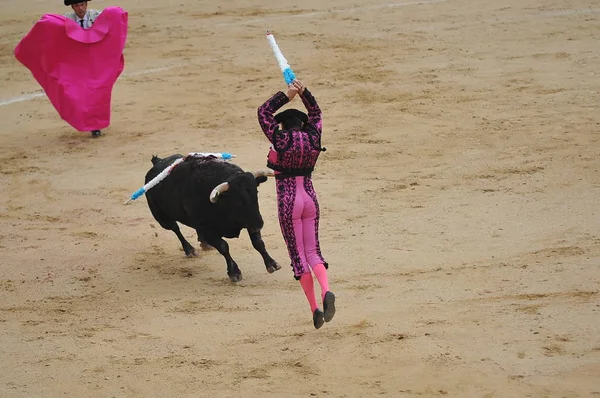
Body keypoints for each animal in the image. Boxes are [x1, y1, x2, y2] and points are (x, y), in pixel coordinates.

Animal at [144, 155, 282, 282]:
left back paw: (205, 244)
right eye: (238, 200)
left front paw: (272, 264)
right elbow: (224, 247)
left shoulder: (249, 221)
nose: (259, 224)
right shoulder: (209, 230)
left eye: (256, 193)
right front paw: (234, 272)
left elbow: (258, 242)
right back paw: (190, 250)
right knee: (176, 229)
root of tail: (157, 162)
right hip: (162, 218)